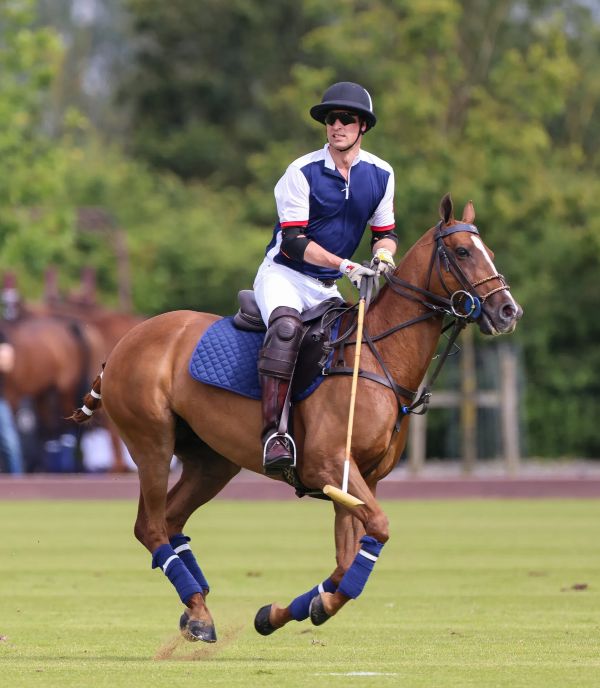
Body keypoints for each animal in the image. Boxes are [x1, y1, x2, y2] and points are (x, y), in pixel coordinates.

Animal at [70, 195, 520, 644]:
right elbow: (378, 529)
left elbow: (344, 567)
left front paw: (281, 613)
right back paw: (197, 612)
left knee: (171, 520)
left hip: (211, 461)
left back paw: (197, 609)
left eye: (490, 252)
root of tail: (122, 343)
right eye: (461, 252)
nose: (507, 311)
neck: (376, 358)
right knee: (149, 527)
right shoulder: (327, 463)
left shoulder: (359, 479)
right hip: (152, 443)